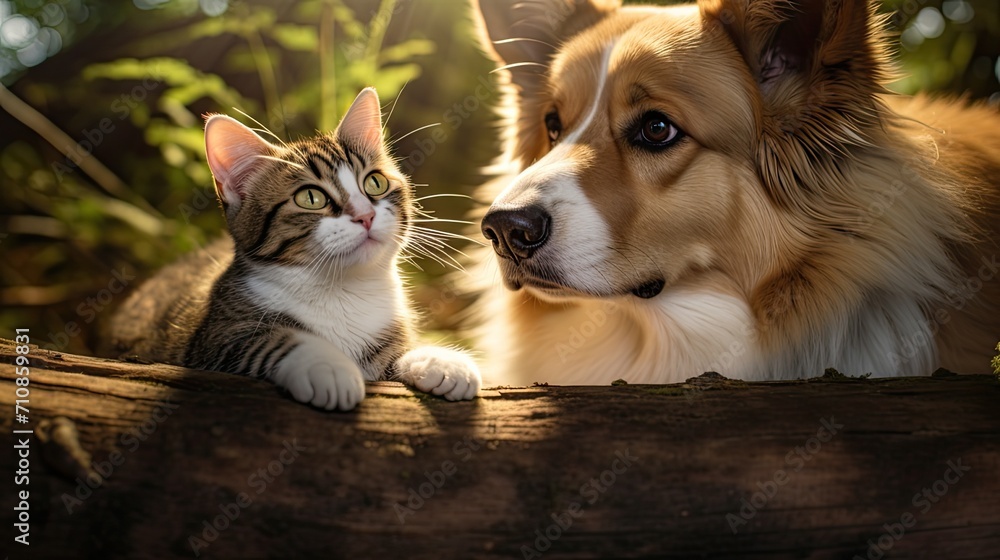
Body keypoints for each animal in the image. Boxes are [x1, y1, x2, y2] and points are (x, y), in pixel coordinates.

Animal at [109, 87, 480, 412]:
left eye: (375, 182)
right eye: (311, 198)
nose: (366, 215)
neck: (342, 291)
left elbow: (395, 350)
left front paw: (437, 358)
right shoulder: (212, 340)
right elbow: (267, 340)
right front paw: (326, 364)